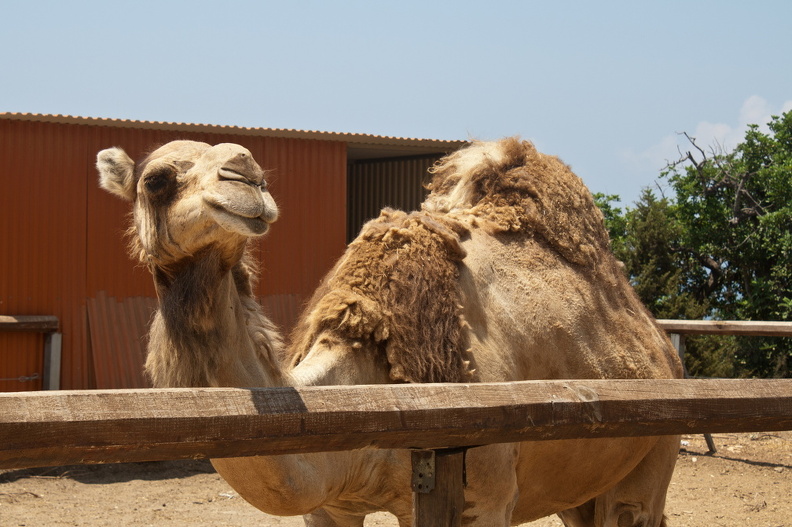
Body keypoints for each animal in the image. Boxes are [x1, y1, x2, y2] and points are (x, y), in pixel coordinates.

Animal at [97, 137, 680, 527]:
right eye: (156, 180)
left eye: (256, 170)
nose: (245, 175)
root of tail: (662, 347)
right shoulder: (329, 505)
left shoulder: (483, 499)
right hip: (581, 487)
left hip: (654, 455)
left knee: (635, 507)